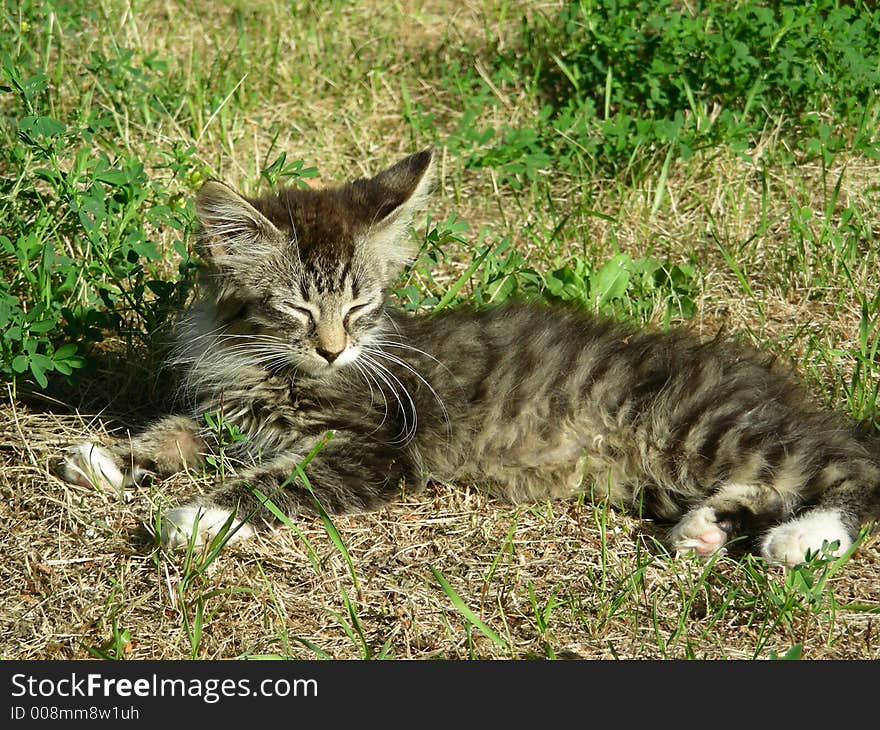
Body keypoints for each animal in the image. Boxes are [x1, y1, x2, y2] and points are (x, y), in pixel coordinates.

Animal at [58, 149, 880, 564]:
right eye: (298, 309)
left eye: (358, 305)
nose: (333, 349)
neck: (265, 364)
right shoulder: (232, 411)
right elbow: (179, 432)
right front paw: (109, 459)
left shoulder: (377, 445)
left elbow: (279, 483)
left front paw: (198, 516)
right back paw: (706, 529)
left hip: (707, 429)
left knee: (852, 475)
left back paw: (802, 538)